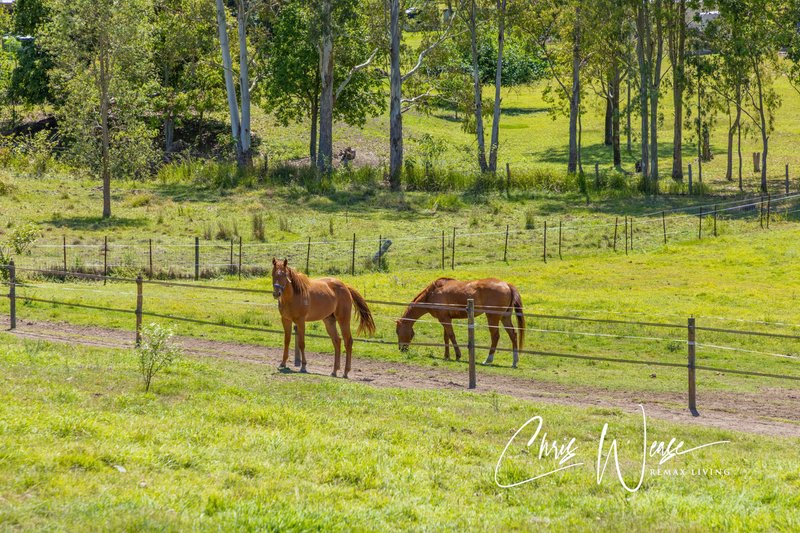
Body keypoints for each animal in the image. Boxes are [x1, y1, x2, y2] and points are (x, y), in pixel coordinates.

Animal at [394, 278, 524, 366]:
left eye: (397, 332)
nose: (401, 349)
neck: (431, 294)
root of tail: (507, 285)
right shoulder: (445, 319)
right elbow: (446, 337)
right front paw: (446, 356)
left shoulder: (444, 319)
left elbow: (451, 336)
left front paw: (457, 355)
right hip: (505, 317)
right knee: (513, 334)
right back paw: (515, 361)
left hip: (493, 317)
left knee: (495, 336)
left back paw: (488, 360)